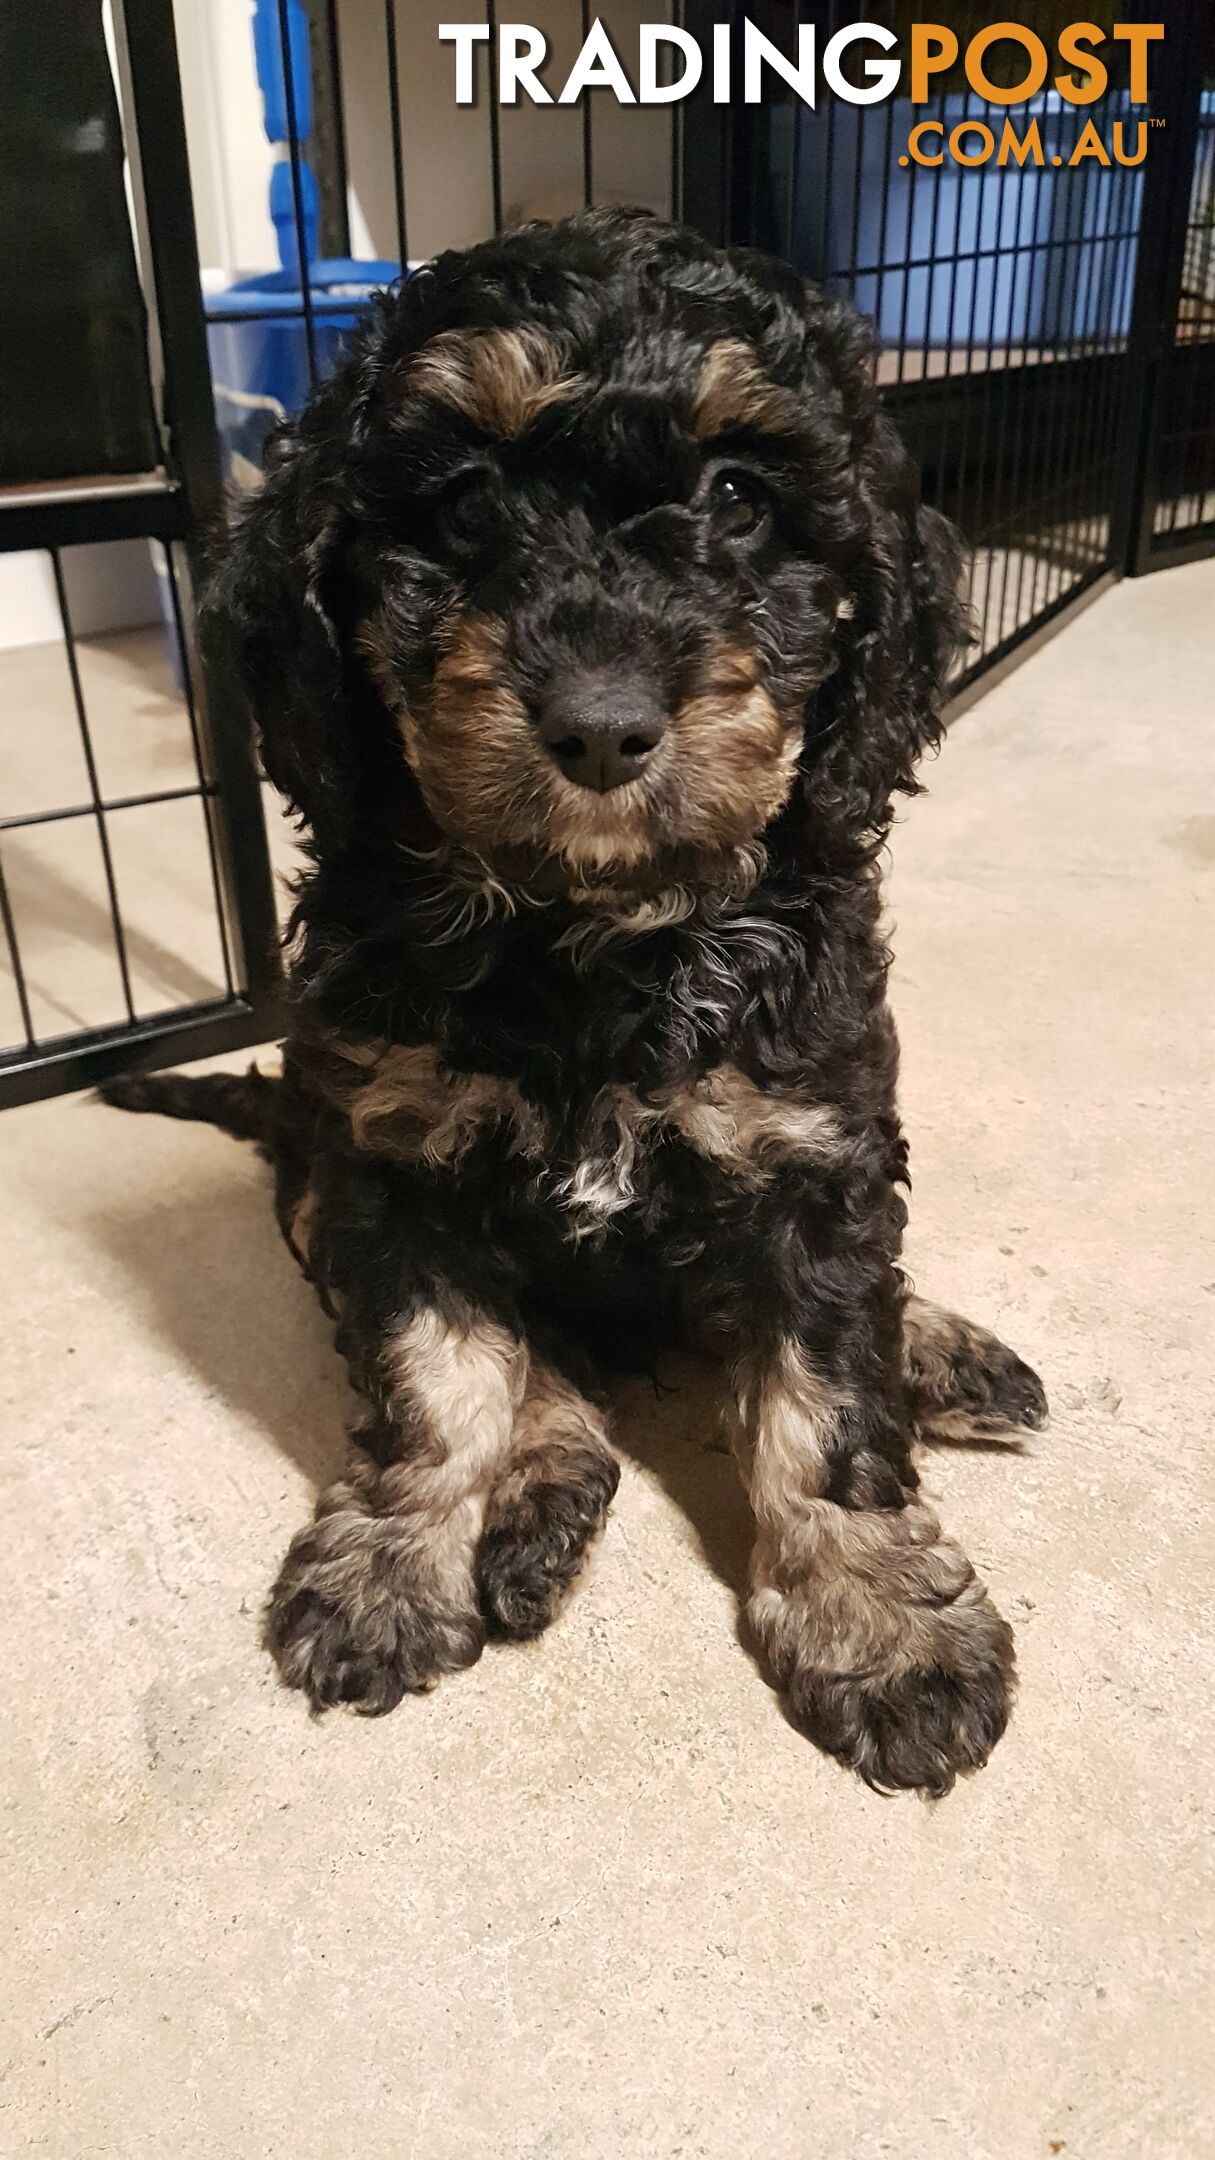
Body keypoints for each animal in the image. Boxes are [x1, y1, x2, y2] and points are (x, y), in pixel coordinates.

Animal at [108, 210, 1046, 1797]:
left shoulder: (811, 1140)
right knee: (531, 1367)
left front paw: (882, 1622)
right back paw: (535, 1499)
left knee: (868, 1288)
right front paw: (391, 1562)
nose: (601, 726)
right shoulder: (383, 1158)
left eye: (739, 497)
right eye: (466, 498)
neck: (591, 934)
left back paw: (938, 1346)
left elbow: (826, 1392)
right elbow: (438, 1374)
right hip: (307, 1173)